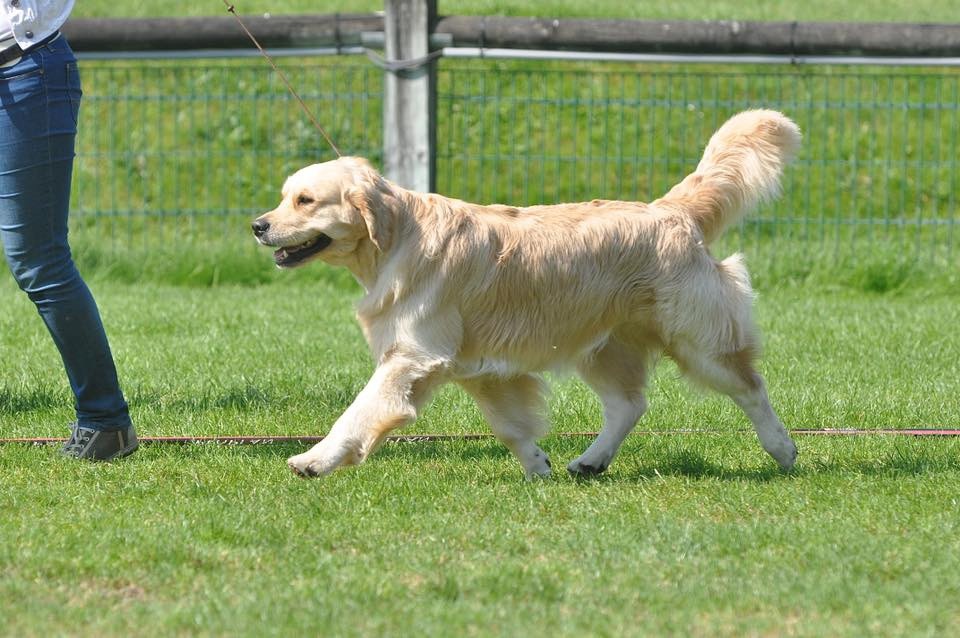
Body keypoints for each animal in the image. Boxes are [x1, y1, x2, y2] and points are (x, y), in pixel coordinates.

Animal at [251, 110, 800, 480]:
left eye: (305, 201)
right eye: (283, 197)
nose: (258, 225)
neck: (398, 239)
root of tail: (672, 209)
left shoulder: (412, 356)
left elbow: (358, 412)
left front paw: (314, 459)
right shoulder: (476, 368)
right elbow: (511, 426)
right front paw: (538, 466)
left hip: (697, 338)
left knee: (750, 387)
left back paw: (783, 449)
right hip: (602, 344)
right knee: (628, 405)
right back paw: (591, 461)